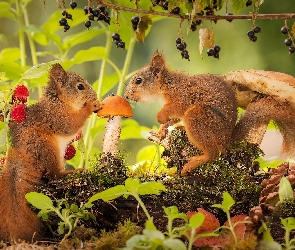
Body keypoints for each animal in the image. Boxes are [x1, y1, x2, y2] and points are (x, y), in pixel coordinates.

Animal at [0, 63, 102, 242]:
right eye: (80, 86)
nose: (94, 95)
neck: (59, 101)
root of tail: (18, 156)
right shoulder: (57, 117)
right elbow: (71, 124)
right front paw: (92, 106)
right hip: (46, 148)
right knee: (54, 175)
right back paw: (73, 172)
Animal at [123, 51, 295, 175]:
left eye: (138, 80)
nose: (126, 96)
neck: (167, 85)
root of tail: (226, 139)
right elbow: (173, 119)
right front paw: (162, 129)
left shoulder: (182, 98)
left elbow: (174, 109)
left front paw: (159, 118)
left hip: (197, 117)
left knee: (213, 153)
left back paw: (195, 161)